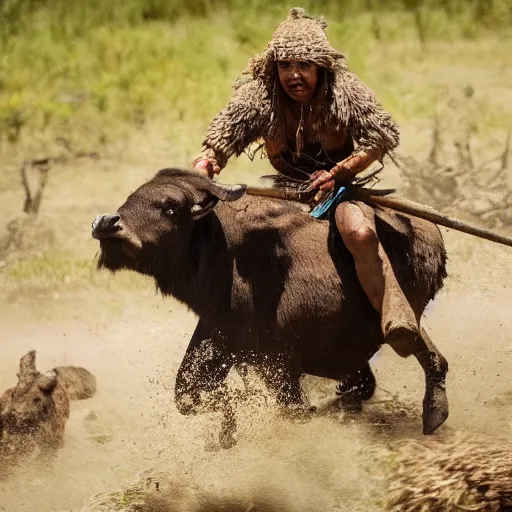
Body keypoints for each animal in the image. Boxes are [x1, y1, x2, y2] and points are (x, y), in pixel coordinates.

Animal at [91, 169, 448, 448]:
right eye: (132, 196)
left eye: (169, 206)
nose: (107, 224)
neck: (228, 255)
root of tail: (431, 233)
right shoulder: (221, 342)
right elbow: (187, 398)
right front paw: (227, 433)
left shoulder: (279, 365)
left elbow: (296, 411)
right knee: (420, 362)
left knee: (421, 354)